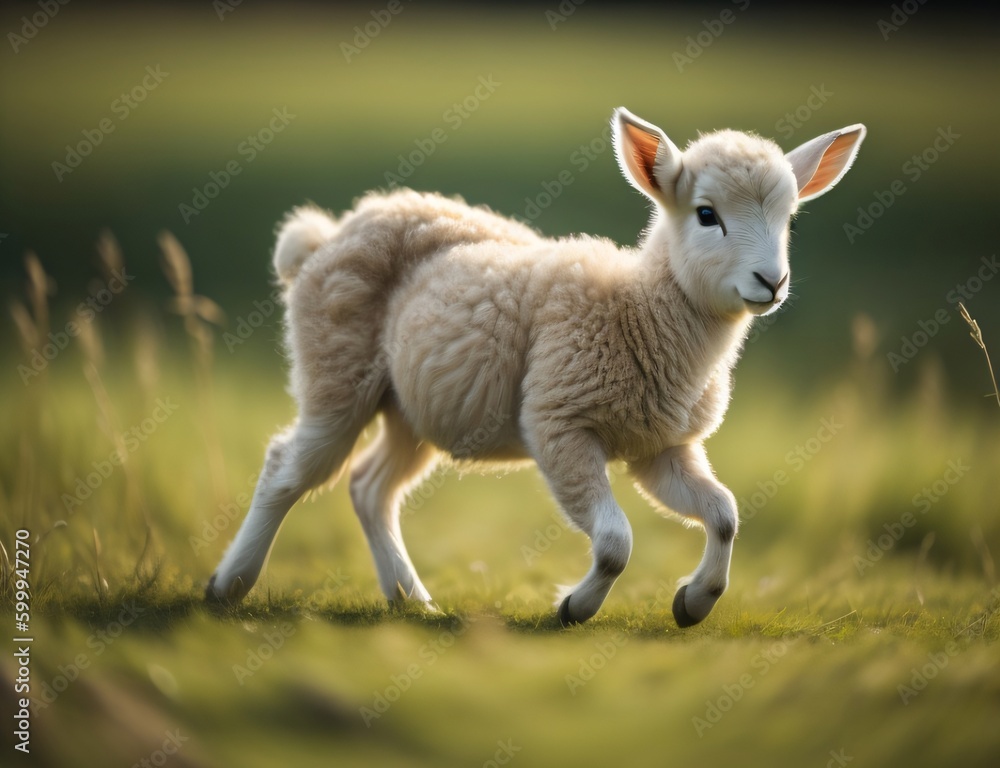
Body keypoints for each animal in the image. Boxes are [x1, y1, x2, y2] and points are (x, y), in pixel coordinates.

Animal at [206, 107, 866, 627]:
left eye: (790, 220)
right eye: (707, 215)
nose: (772, 281)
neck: (640, 310)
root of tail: (328, 235)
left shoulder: (661, 448)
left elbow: (724, 515)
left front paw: (694, 603)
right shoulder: (558, 423)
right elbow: (614, 543)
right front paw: (576, 607)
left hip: (412, 406)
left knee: (370, 487)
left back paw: (412, 600)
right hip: (336, 370)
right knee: (288, 468)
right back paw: (228, 587)